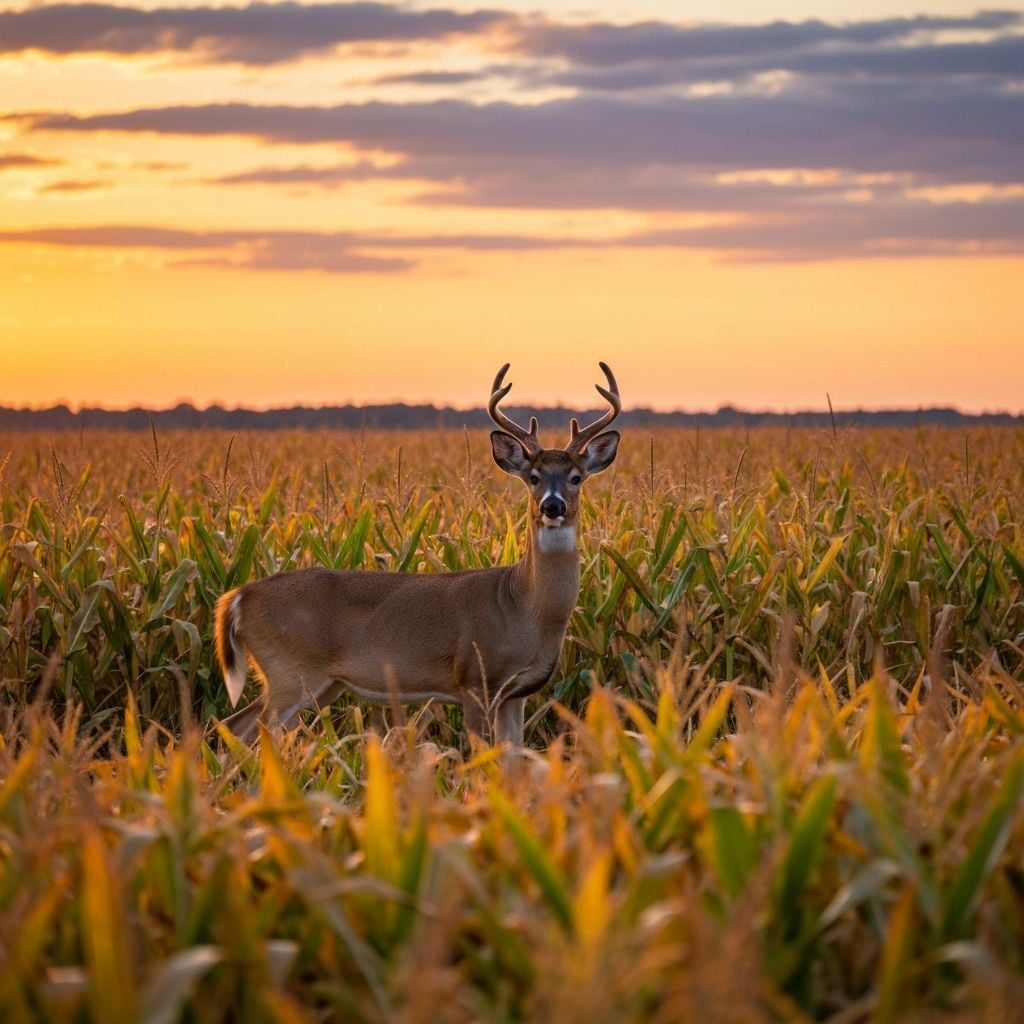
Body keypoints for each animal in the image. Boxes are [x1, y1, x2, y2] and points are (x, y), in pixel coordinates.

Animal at [213, 362, 621, 747]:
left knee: (237, 726)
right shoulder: (473, 679)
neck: (525, 606)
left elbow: (513, 757)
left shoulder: (515, 695)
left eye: (576, 477)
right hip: (289, 670)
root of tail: (239, 596)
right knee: (247, 727)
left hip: (323, 683)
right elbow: (481, 756)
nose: (553, 506)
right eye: (533, 478)